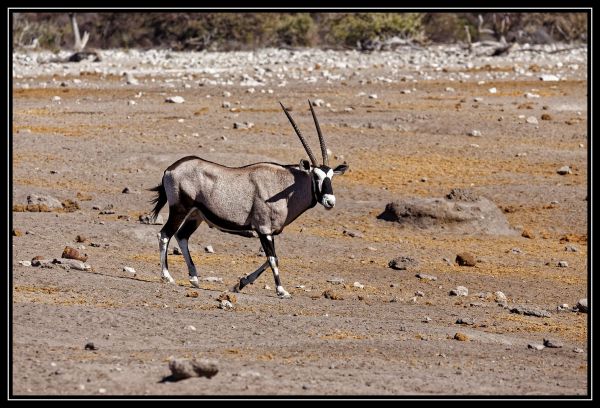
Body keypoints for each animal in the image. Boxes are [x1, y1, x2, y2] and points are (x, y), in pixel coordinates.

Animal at [148, 100, 350, 298]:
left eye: (331, 177)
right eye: (315, 176)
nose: (330, 201)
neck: (284, 186)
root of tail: (170, 169)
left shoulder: (269, 232)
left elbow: (270, 259)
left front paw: (240, 284)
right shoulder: (264, 230)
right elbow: (273, 258)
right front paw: (281, 290)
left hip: (195, 216)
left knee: (182, 236)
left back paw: (194, 278)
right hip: (180, 209)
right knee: (164, 234)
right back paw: (167, 276)